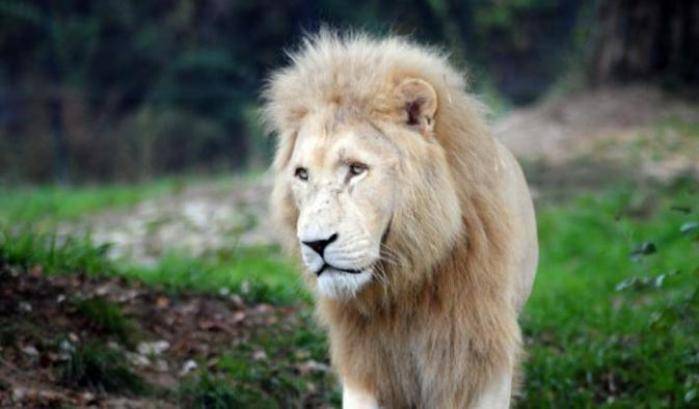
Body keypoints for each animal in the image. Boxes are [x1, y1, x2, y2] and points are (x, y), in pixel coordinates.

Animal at [263, 31, 538, 409]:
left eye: (356, 169)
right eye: (302, 174)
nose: (315, 244)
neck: (405, 282)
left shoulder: (476, 352)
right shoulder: (366, 363)